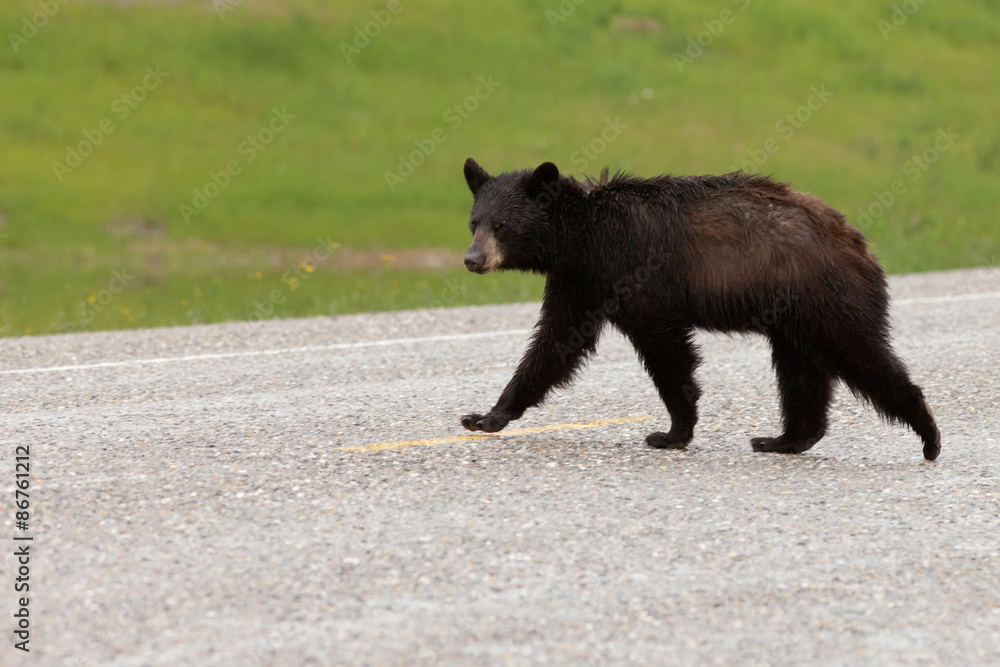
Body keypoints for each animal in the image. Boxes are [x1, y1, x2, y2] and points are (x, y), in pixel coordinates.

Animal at [458, 158, 942, 461]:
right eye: (474, 221)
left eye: (502, 224)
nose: (472, 259)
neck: (582, 238)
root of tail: (857, 240)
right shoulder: (579, 282)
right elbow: (555, 344)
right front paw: (486, 416)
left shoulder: (634, 272)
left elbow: (665, 350)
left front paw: (672, 432)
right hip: (794, 315)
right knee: (801, 369)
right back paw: (784, 439)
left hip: (825, 296)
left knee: (860, 352)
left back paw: (929, 435)